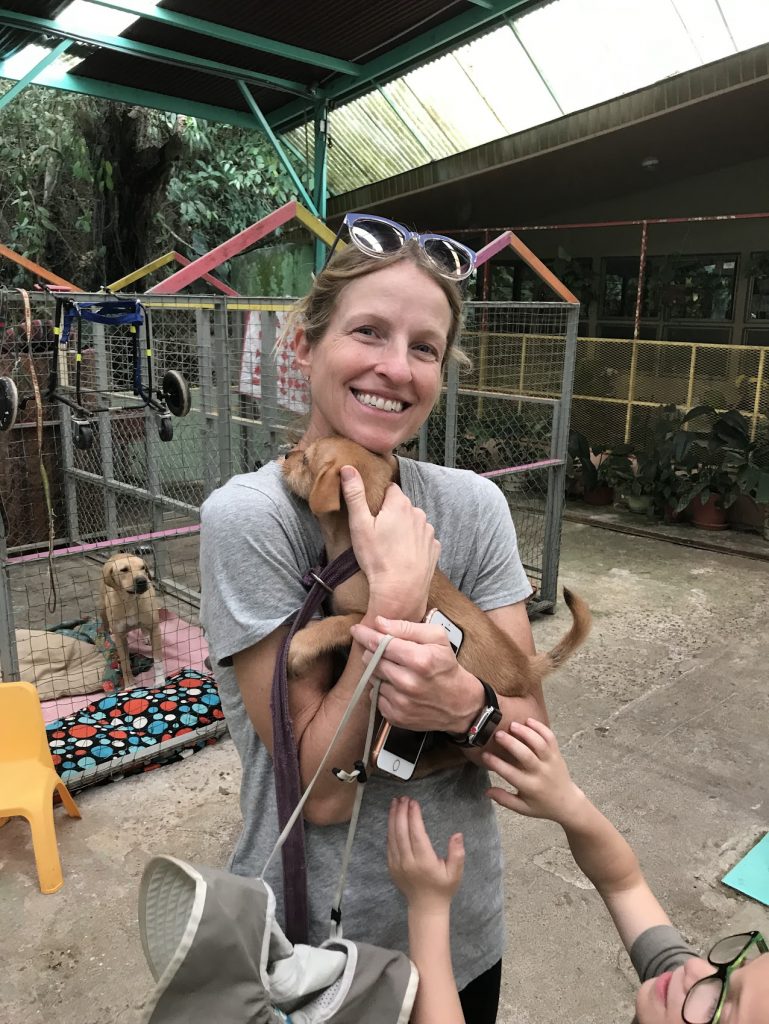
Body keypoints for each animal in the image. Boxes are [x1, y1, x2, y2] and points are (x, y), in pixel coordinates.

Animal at [101, 552, 164, 688]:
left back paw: (146, 636)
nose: (142, 581)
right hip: (102, 607)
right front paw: (129, 686)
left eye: (143, 568)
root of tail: (119, 553)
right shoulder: (120, 637)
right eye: (124, 570)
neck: (131, 601)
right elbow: (125, 664)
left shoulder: (155, 629)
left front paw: (160, 681)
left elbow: (158, 660)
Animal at [286, 432, 593, 704]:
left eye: (306, 461)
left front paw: (301, 645)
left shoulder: (368, 618)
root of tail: (526, 667)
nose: (287, 454)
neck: (351, 553)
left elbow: (334, 624)